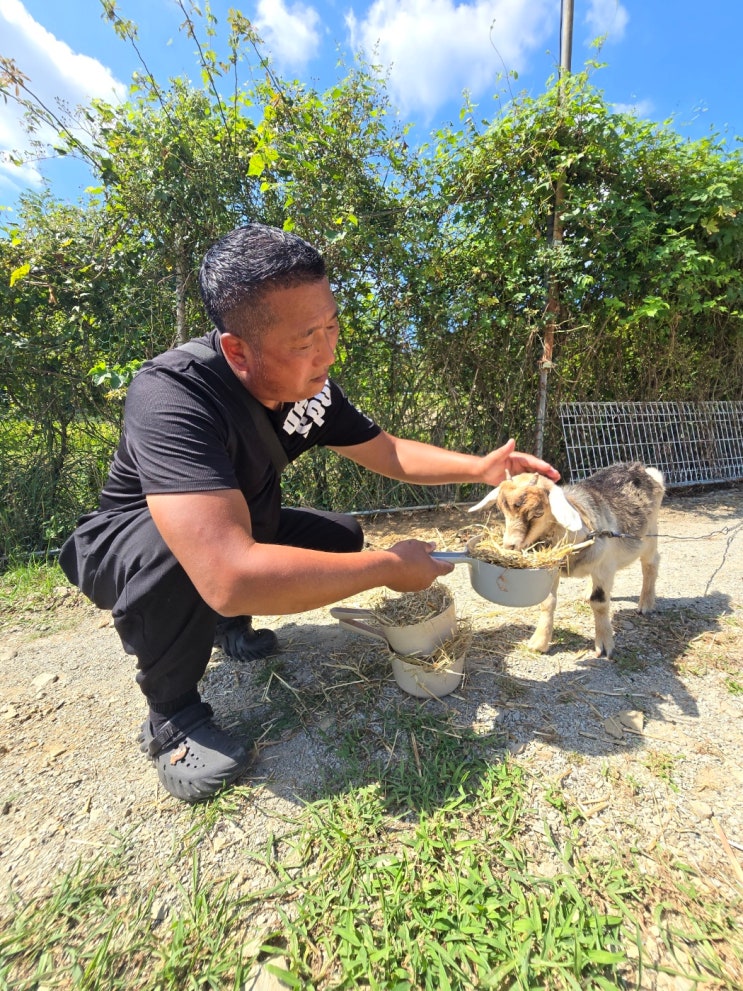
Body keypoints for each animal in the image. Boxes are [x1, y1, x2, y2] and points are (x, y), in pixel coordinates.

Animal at [469, 462, 665, 658]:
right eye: (501, 510)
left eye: (538, 513)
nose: (510, 546)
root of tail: (641, 468)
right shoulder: (553, 570)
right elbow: (547, 602)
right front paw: (539, 642)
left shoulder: (604, 567)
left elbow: (599, 602)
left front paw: (604, 645)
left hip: (650, 535)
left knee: (651, 563)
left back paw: (646, 604)